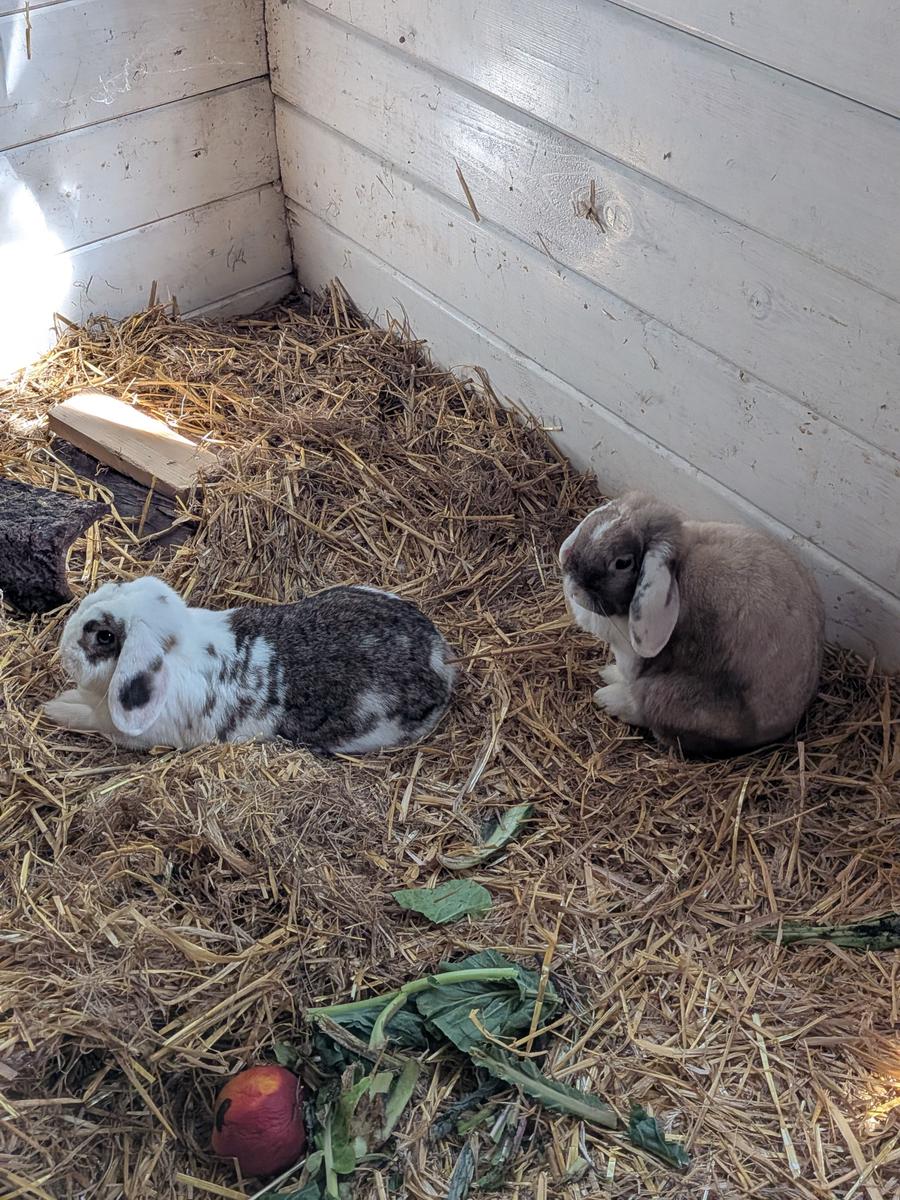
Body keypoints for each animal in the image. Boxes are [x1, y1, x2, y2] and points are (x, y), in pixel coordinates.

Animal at [559, 492, 825, 756]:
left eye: (622, 562)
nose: (573, 585)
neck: (679, 569)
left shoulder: (631, 657)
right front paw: (608, 671)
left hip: (673, 697)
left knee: (647, 708)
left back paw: (607, 699)